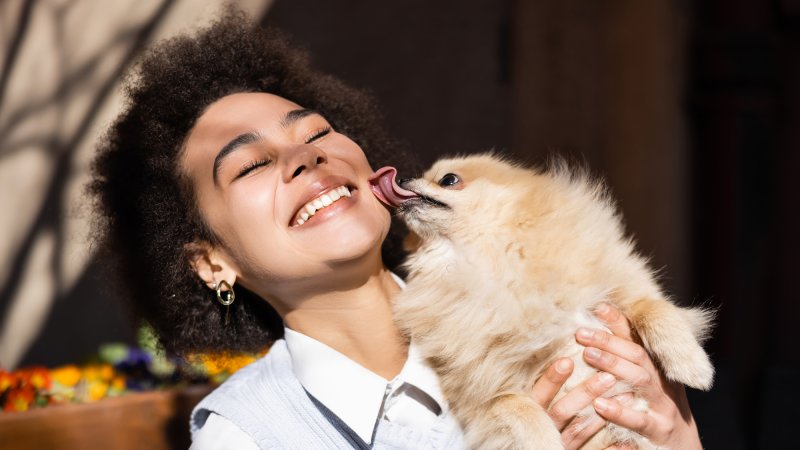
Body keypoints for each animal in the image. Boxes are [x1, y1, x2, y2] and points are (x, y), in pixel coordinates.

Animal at [368, 153, 712, 448]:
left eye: (449, 180)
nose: (405, 177)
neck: (491, 263)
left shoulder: (622, 289)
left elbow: (652, 309)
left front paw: (692, 365)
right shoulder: (479, 392)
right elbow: (513, 406)